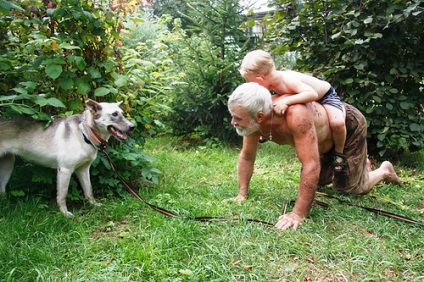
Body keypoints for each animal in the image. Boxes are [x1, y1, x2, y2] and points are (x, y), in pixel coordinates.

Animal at [0, 99, 134, 218]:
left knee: (1, 189)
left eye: (122, 113)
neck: (84, 133)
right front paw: (64, 214)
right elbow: (62, 196)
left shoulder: (83, 170)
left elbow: (89, 191)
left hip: (7, 167)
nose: (132, 126)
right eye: (114, 114)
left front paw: (94, 205)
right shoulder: (65, 171)